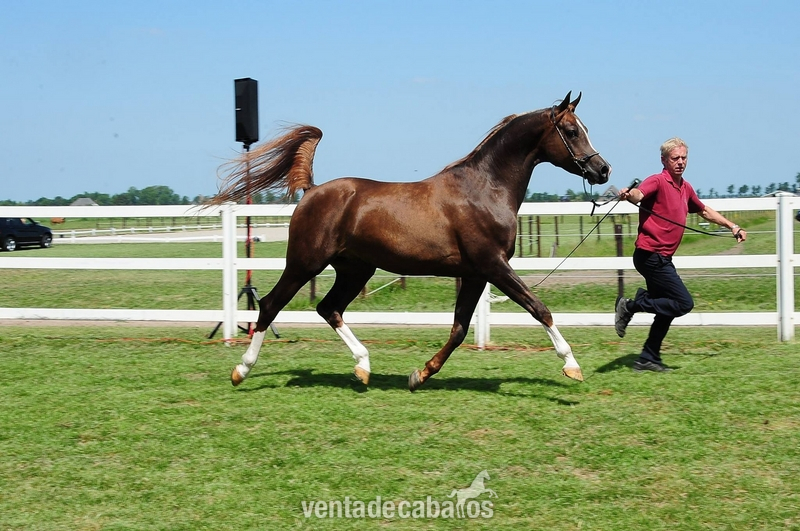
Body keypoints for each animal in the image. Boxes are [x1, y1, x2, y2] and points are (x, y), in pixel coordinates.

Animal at [209, 92, 610, 391]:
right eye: (572, 131)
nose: (603, 169)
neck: (485, 189)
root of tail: (312, 190)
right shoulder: (494, 265)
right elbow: (539, 308)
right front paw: (572, 366)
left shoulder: (476, 274)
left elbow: (460, 329)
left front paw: (420, 375)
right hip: (305, 263)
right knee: (270, 305)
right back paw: (241, 370)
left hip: (356, 270)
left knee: (329, 308)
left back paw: (363, 367)